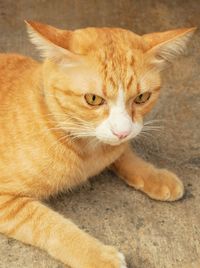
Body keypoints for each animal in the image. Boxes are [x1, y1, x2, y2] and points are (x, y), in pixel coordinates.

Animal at [0, 21, 195, 268]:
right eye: (93, 99)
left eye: (142, 97)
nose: (121, 132)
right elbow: (50, 225)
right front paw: (96, 254)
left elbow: (123, 154)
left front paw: (155, 176)